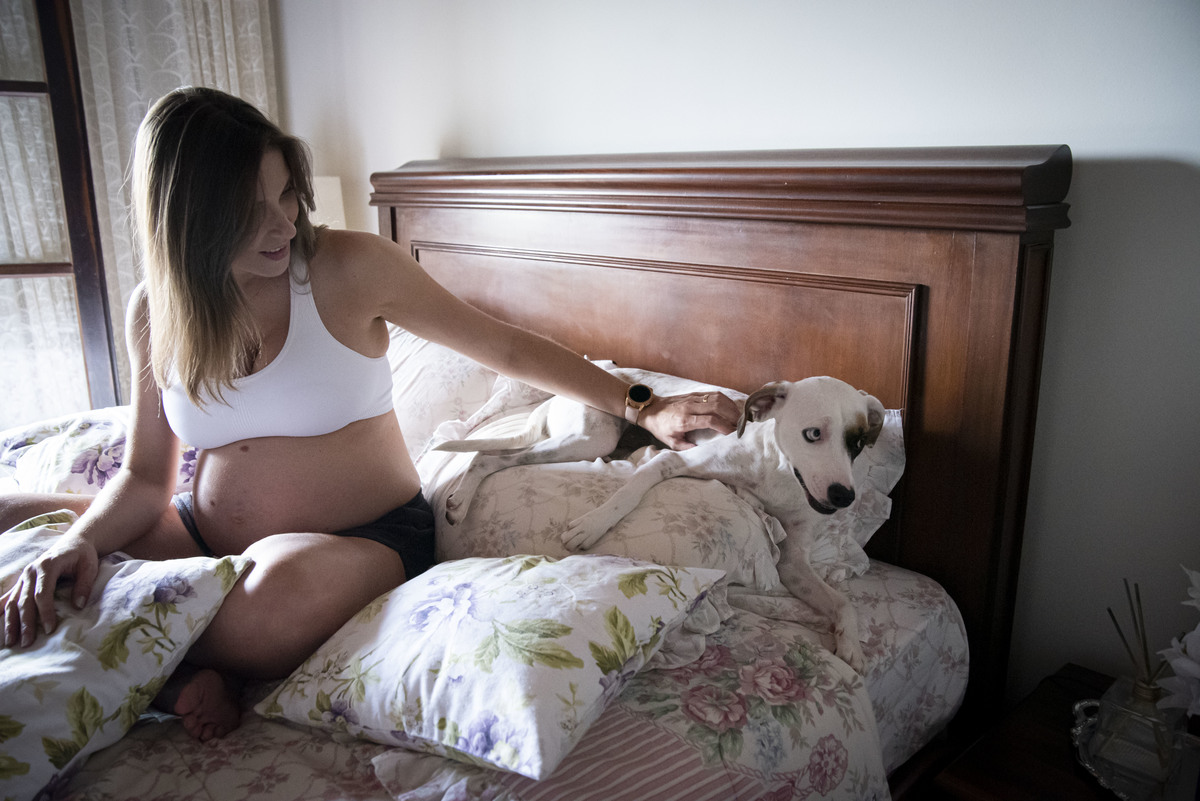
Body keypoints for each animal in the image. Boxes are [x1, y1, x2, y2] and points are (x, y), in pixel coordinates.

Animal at [435, 369, 884, 672]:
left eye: (859, 441)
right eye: (813, 434)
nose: (843, 497)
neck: (779, 472)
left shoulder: (794, 564)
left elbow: (843, 602)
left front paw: (850, 645)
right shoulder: (673, 461)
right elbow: (630, 490)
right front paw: (593, 524)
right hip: (589, 438)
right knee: (489, 456)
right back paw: (460, 500)